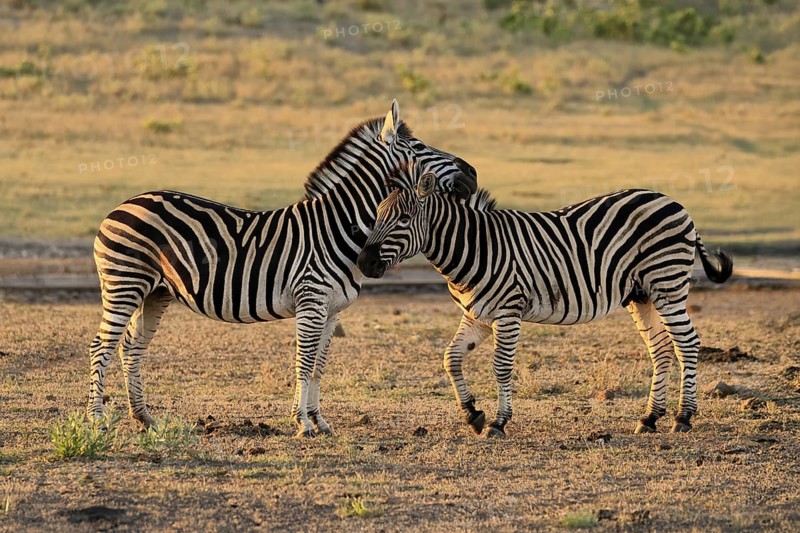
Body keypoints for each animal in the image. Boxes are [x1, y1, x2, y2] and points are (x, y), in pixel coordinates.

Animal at [88, 101, 477, 438]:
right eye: (419, 146)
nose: (472, 174)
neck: (337, 226)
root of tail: (121, 205)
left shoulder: (331, 311)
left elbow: (319, 365)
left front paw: (319, 421)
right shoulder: (311, 302)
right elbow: (303, 362)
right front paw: (302, 423)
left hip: (156, 292)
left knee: (131, 347)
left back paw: (144, 418)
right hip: (125, 283)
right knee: (101, 346)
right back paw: (98, 421)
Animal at [358, 168, 733, 438]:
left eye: (404, 219)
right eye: (376, 215)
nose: (363, 263)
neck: (474, 246)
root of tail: (672, 202)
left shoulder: (508, 312)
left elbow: (501, 367)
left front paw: (498, 422)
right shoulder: (477, 314)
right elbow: (451, 358)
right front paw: (473, 414)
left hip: (667, 285)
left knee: (687, 343)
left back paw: (684, 417)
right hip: (642, 295)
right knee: (662, 349)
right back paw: (650, 418)